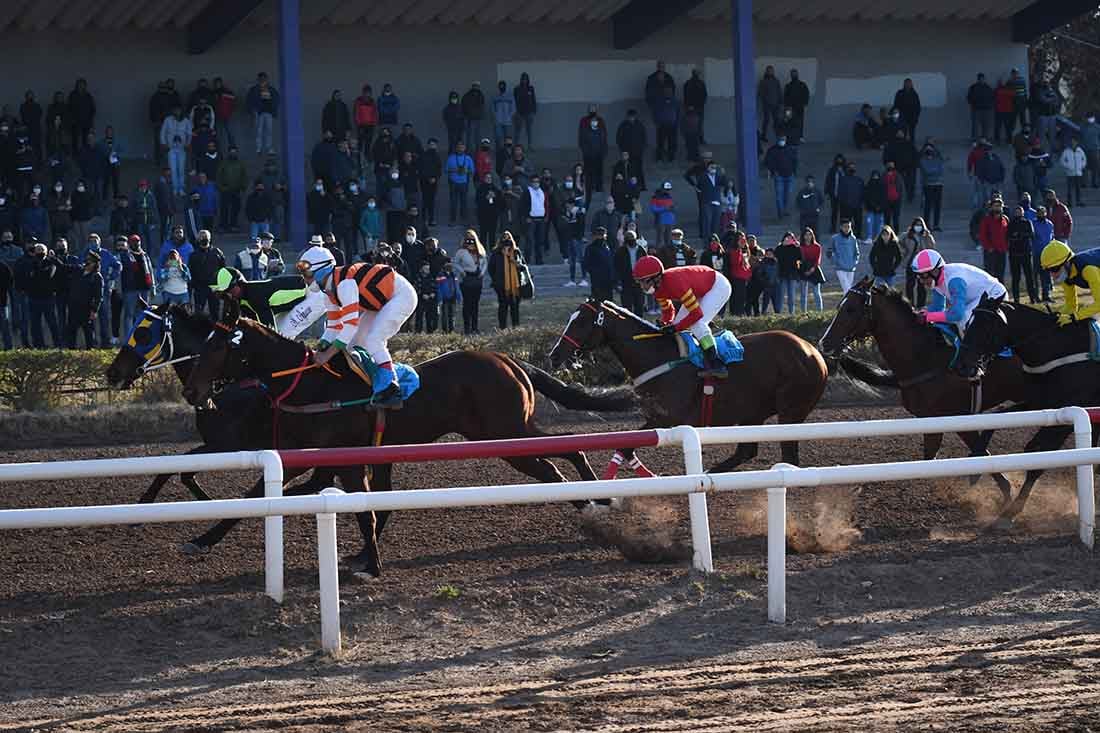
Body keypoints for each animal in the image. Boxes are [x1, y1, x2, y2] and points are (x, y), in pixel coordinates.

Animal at [182, 299, 638, 572]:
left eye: (218, 347)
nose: (191, 392)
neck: (312, 385)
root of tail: (507, 358)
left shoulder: (341, 459)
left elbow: (358, 508)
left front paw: (371, 562)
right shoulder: (311, 457)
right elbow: (263, 496)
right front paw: (203, 538)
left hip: (506, 434)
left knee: (552, 469)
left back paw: (593, 508)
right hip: (512, 428)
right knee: (571, 448)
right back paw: (597, 499)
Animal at [545, 299, 827, 471]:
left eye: (580, 321)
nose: (554, 356)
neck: (658, 356)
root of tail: (815, 352)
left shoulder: (669, 419)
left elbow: (624, 448)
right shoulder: (655, 418)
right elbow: (624, 449)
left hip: (791, 411)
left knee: (788, 458)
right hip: (753, 413)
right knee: (747, 451)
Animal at [822, 277, 1025, 499]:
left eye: (850, 309)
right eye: (840, 306)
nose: (824, 343)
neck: (926, 357)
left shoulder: (957, 416)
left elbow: (982, 455)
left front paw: (1007, 494)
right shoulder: (931, 419)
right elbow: (931, 458)